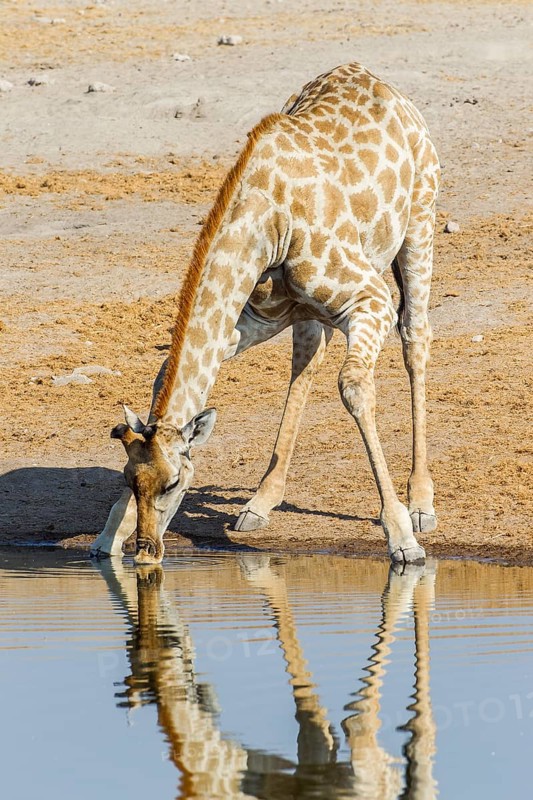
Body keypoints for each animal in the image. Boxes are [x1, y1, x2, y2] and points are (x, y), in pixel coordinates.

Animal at [89, 61, 440, 565]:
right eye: (128, 480)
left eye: (174, 483)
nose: (147, 551)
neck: (269, 223)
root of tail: (378, 80)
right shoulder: (254, 319)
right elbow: (165, 375)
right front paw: (107, 537)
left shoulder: (370, 299)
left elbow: (354, 387)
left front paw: (402, 538)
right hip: (308, 311)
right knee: (307, 363)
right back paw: (260, 501)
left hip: (420, 223)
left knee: (415, 338)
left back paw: (421, 503)